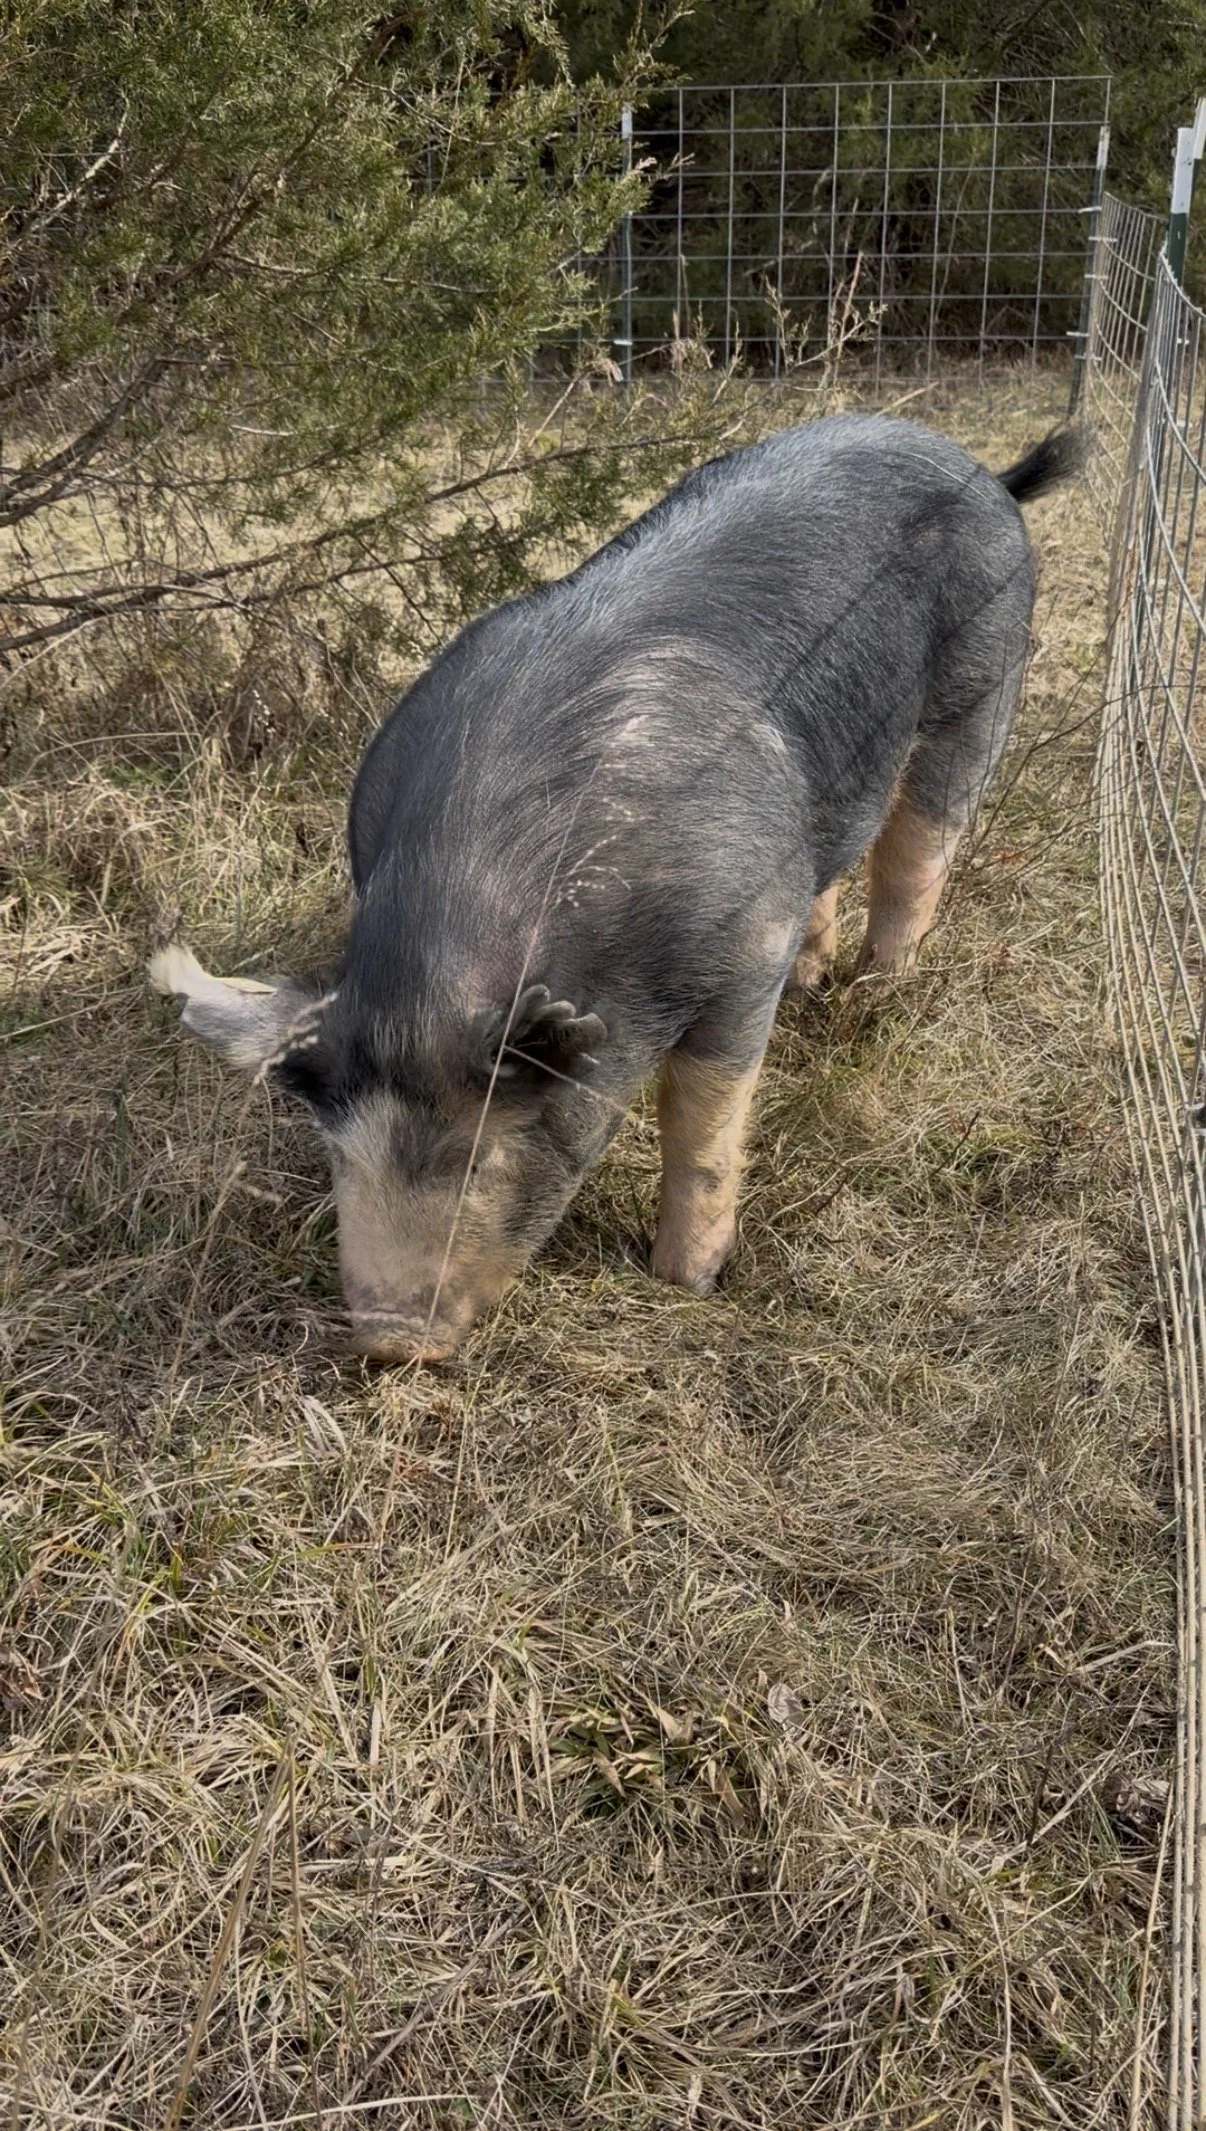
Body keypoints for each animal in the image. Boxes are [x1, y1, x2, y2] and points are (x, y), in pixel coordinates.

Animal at [151, 413, 1081, 1362]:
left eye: (478, 1157)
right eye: (341, 1153)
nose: (388, 1338)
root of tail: (978, 467)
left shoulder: (743, 946)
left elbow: (704, 1123)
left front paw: (687, 1283)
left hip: (982, 685)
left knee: (917, 852)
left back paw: (876, 995)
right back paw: (818, 979)